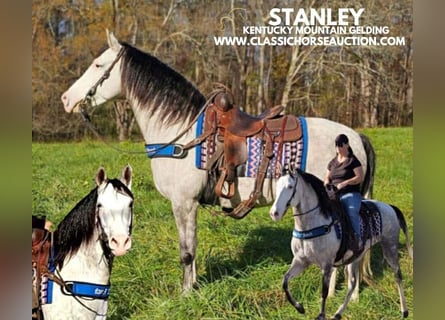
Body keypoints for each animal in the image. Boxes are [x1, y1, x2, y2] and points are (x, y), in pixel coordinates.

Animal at [60, 30, 376, 292]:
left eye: (98, 65)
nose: (66, 99)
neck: (180, 132)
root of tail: (355, 136)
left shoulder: (183, 203)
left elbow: (186, 251)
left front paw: (185, 294)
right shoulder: (189, 205)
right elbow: (193, 247)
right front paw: (193, 286)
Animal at [266, 169, 412, 318]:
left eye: (290, 187)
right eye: (277, 186)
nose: (274, 213)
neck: (314, 224)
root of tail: (390, 207)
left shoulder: (327, 265)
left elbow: (324, 292)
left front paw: (321, 315)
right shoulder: (301, 261)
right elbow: (285, 281)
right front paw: (300, 308)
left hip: (390, 247)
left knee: (398, 276)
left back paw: (404, 311)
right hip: (356, 257)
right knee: (352, 282)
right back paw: (337, 313)